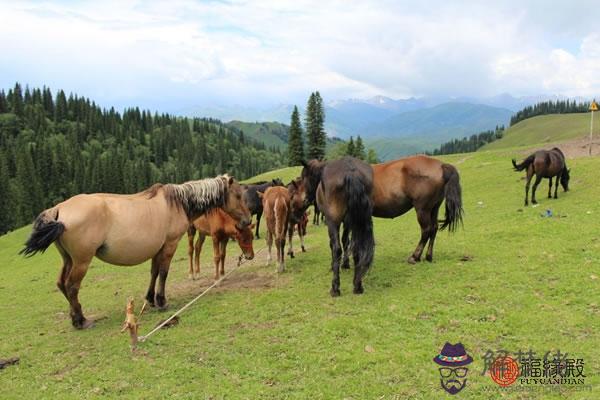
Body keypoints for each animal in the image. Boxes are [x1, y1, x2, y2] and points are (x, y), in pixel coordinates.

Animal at [20, 175, 251, 328]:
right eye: (238, 195)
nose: (247, 220)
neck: (178, 203)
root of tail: (58, 209)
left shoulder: (158, 248)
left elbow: (154, 272)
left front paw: (150, 299)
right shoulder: (170, 245)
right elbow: (164, 273)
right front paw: (162, 301)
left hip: (68, 259)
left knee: (61, 284)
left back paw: (74, 317)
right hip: (81, 261)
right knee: (71, 286)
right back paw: (81, 320)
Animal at [300, 156, 376, 296]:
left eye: (304, 177)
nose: (305, 199)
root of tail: (351, 172)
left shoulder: (332, 222)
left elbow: (333, 245)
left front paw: (334, 265)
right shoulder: (348, 222)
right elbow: (346, 241)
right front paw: (345, 263)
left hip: (333, 222)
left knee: (336, 248)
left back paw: (335, 287)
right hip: (357, 221)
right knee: (356, 246)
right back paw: (357, 285)